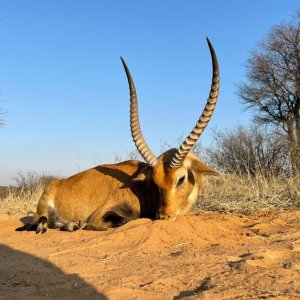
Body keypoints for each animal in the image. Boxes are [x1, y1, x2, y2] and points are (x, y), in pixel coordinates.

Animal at [17, 38, 220, 234]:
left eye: (181, 178)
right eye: (155, 182)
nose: (164, 216)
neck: (143, 189)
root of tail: (57, 183)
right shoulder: (101, 216)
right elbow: (119, 221)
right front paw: (81, 225)